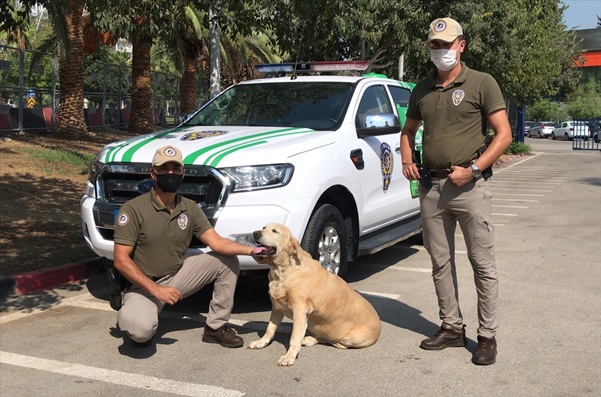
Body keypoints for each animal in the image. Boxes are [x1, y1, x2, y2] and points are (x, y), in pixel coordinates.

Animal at [247, 223, 380, 366]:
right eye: (264, 227)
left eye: (275, 231)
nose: (255, 233)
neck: (284, 269)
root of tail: (379, 327)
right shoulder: (277, 308)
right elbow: (270, 329)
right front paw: (262, 342)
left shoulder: (299, 311)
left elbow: (294, 338)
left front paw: (289, 356)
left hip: (352, 337)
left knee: (336, 342)